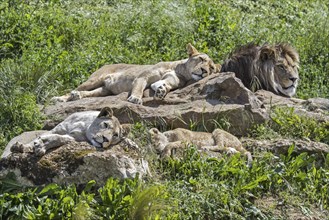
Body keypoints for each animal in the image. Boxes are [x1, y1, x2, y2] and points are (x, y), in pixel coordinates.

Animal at [52, 43, 219, 105]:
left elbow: (165, 84)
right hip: (94, 80)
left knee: (90, 93)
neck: (180, 69)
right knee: (76, 89)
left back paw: (77, 96)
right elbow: (138, 87)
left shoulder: (174, 80)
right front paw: (135, 98)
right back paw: (61, 98)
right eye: (201, 59)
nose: (204, 71)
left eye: (211, 68)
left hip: (104, 90)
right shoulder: (142, 76)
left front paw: (161, 91)